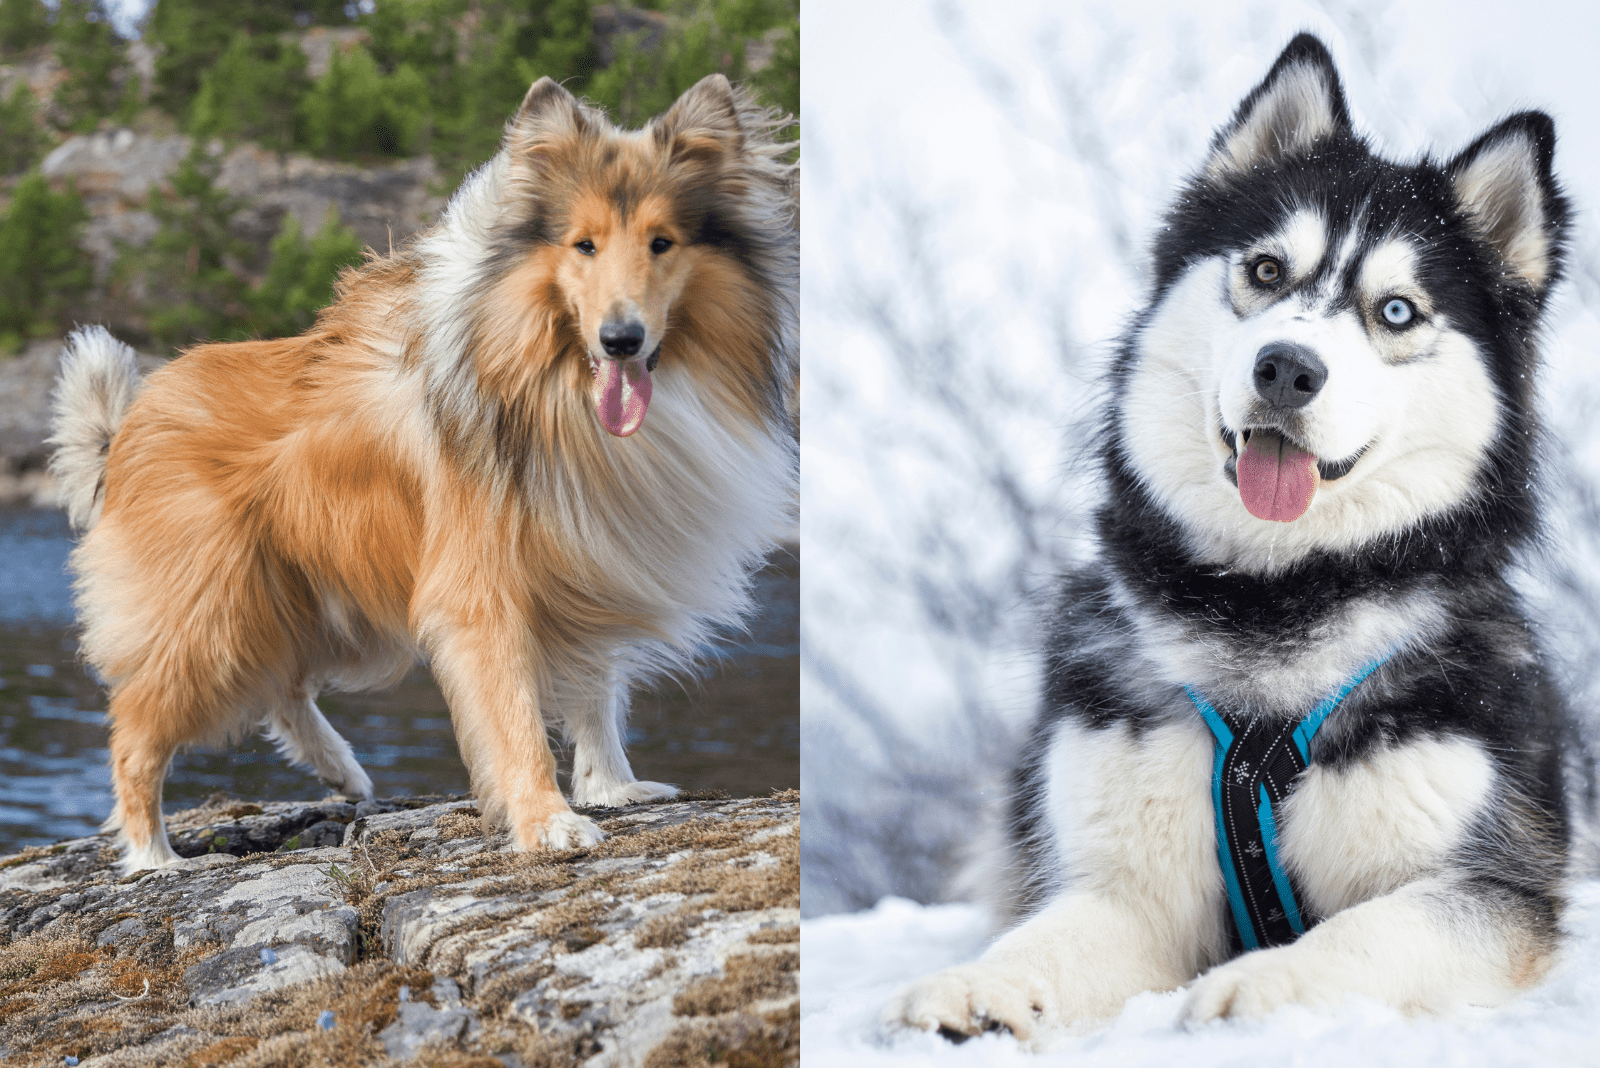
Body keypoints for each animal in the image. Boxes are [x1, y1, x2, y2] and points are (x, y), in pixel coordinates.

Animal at [50, 77, 800, 876]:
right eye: (584, 244)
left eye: (662, 242)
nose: (620, 340)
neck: (545, 376)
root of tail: (129, 421)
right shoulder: (483, 586)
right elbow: (513, 711)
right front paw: (548, 822)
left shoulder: (588, 559)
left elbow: (596, 691)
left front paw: (613, 787)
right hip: (211, 610)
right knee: (136, 730)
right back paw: (152, 856)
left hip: (316, 599)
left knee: (283, 688)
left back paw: (343, 772)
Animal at [896, 35, 1580, 1042]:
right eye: (1264, 272)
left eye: (1398, 310)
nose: (1287, 367)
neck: (1273, 600)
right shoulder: (1127, 888)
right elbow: (1046, 938)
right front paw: (975, 985)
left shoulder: (1483, 887)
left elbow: (1369, 930)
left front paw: (1271, 981)